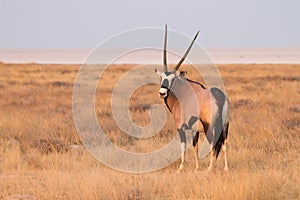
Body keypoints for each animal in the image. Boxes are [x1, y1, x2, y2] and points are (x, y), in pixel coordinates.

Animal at [155, 25, 230, 172]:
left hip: (209, 126)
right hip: (225, 127)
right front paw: (196, 167)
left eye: (173, 78)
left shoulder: (181, 127)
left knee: (213, 145)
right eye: (161, 77)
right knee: (224, 144)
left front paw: (181, 168)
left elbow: (183, 147)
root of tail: (219, 96)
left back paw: (209, 169)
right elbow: (195, 147)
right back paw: (226, 169)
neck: (183, 93)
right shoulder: (195, 130)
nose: (162, 93)